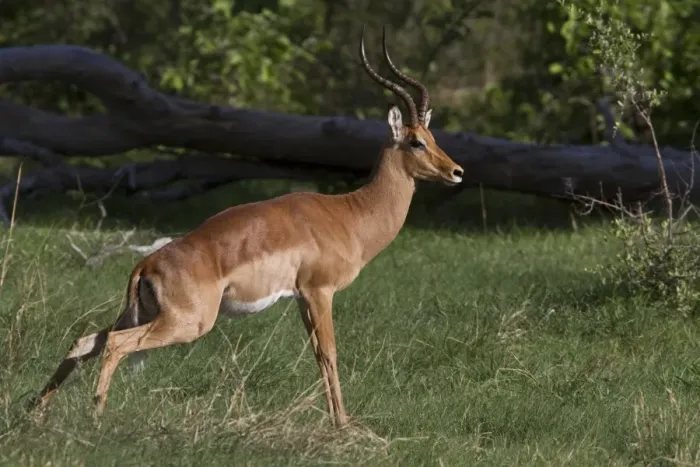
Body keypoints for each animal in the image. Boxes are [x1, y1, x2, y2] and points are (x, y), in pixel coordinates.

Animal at [31, 26, 464, 427]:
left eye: (432, 136)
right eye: (415, 141)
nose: (456, 171)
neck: (349, 215)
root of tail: (147, 264)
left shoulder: (302, 298)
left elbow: (317, 355)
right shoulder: (319, 291)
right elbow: (330, 353)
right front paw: (343, 423)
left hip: (143, 315)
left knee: (86, 340)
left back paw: (36, 411)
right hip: (187, 323)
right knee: (116, 345)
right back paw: (96, 414)